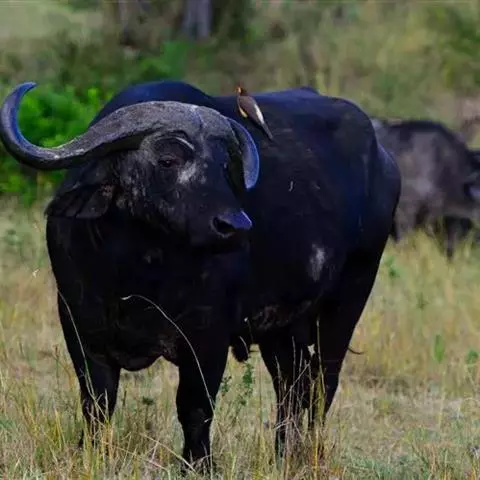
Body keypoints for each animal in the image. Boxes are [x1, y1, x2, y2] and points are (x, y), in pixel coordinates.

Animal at [0, 80, 400, 472]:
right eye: (168, 160)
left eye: (224, 166)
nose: (235, 225)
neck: (137, 274)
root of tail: (385, 162)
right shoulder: (80, 327)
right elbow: (96, 403)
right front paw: (92, 454)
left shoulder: (208, 336)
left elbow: (195, 407)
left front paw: (199, 465)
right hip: (282, 326)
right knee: (291, 383)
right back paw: (284, 455)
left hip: (349, 296)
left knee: (322, 383)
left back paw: (311, 455)